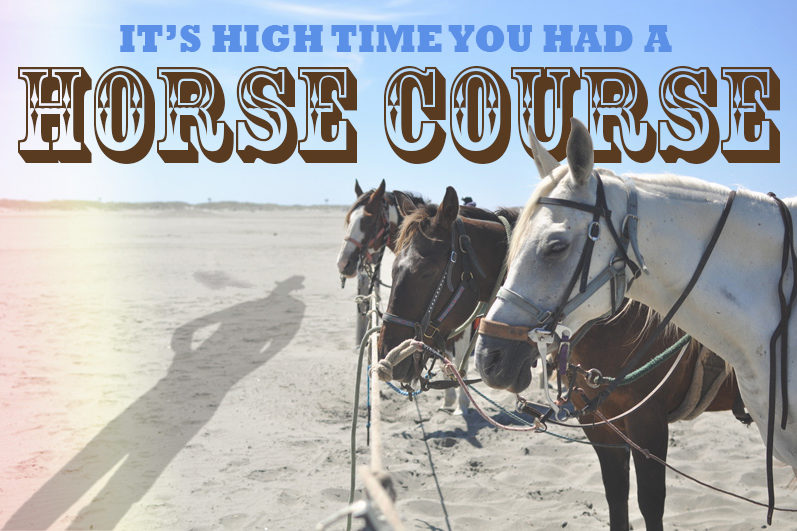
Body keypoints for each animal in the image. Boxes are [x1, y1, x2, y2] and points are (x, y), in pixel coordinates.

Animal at [474, 118, 797, 524]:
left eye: (556, 246)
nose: (489, 357)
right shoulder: (603, 428)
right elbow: (617, 499)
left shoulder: (647, 423)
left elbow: (650, 503)